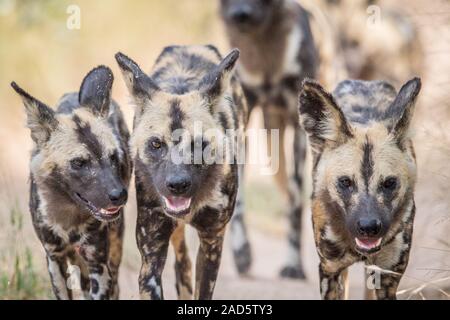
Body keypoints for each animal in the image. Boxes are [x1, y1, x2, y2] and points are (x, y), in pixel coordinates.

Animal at [10, 65, 132, 300]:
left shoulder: (97, 262)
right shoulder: (55, 258)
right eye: (79, 163)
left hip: (113, 250)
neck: (69, 216)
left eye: (114, 157)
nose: (119, 195)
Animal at [114, 45, 248, 300]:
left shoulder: (212, 242)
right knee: (182, 260)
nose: (178, 185)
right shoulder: (151, 253)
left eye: (198, 145)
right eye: (156, 144)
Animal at [220, 0, 318, 278]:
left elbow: (295, 203)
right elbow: (239, 200)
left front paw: (294, 265)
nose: (240, 15)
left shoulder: (300, 128)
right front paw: (241, 253)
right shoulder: (241, 122)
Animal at [298, 77, 422, 300]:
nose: (369, 227)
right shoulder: (330, 270)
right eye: (345, 182)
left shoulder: (387, 276)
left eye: (389, 183)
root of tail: (364, 82)